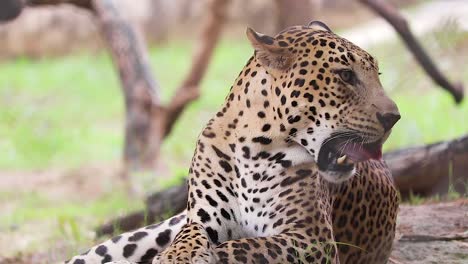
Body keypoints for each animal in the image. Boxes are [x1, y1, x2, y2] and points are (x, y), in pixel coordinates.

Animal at [67, 21, 400, 264]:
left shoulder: (311, 238)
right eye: (345, 75)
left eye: (378, 74)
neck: (256, 148)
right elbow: (189, 238)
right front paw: (176, 256)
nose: (394, 117)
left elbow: (245, 246)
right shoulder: (201, 219)